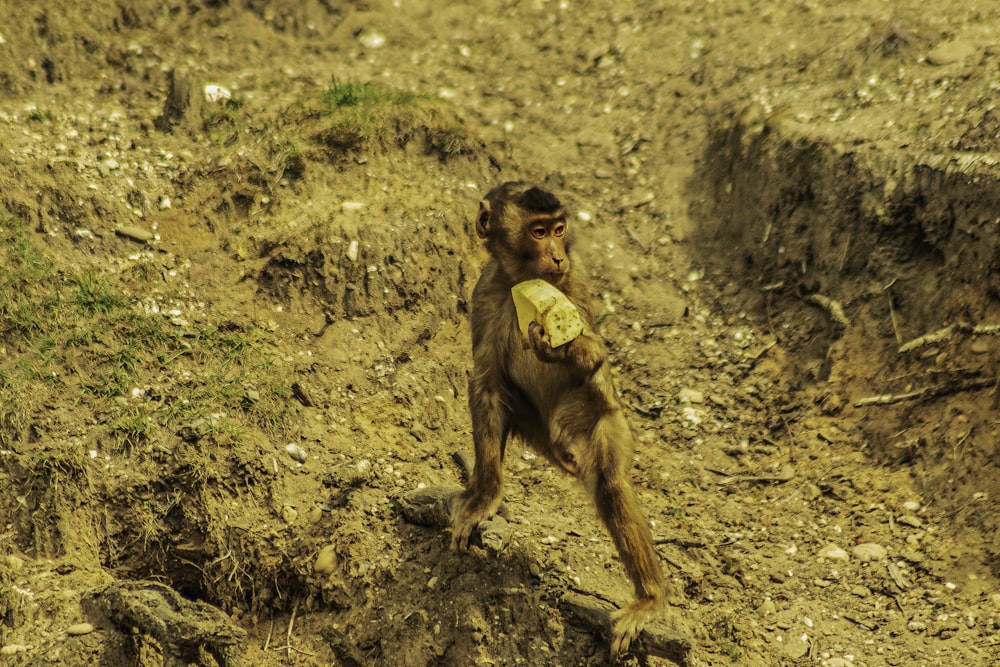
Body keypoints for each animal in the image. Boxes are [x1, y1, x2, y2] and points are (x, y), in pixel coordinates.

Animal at [454, 180, 680, 656]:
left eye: (560, 230)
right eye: (538, 232)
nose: (558, 255)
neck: (521, 282)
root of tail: (564, 447)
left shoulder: (575, 282)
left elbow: (593, 356)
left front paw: (561, 345)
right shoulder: (485, 293)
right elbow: (486, 383)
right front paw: (484, 497)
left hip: (605, 423)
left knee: (611, 484)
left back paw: (650, 599)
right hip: (540, 432)